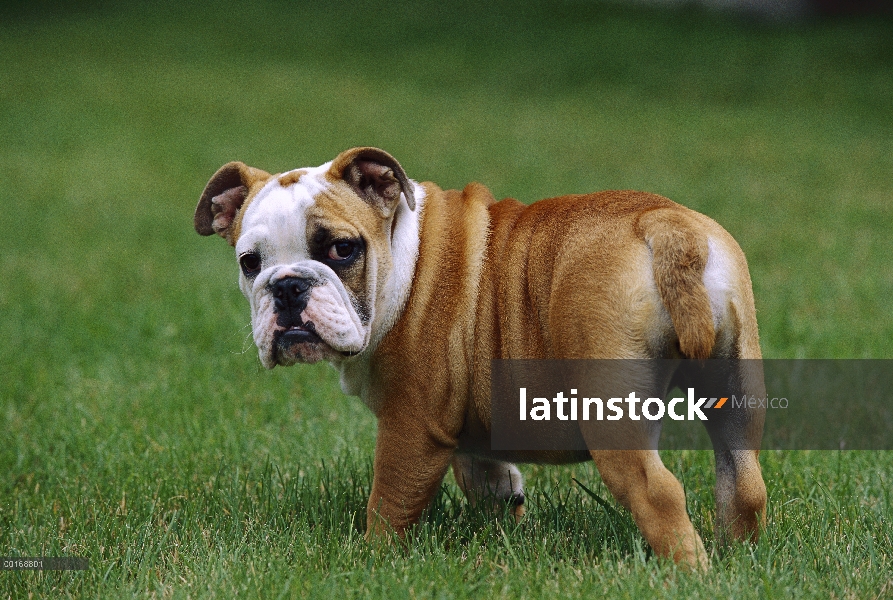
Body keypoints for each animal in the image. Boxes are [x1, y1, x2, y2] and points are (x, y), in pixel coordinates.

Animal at [195, 148, 768, 568]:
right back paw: (736, 559)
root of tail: (665, 225)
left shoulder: (411, 427)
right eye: (249, 263)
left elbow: (389, 503)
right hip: (737, 385)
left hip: (612, 416)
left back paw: (690, 574)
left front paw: (372, 560)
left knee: (660, 493)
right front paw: (505, 525)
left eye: (341, 249)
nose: (287, 286)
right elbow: (486, 479)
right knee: (743, 481)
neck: (403, 259)